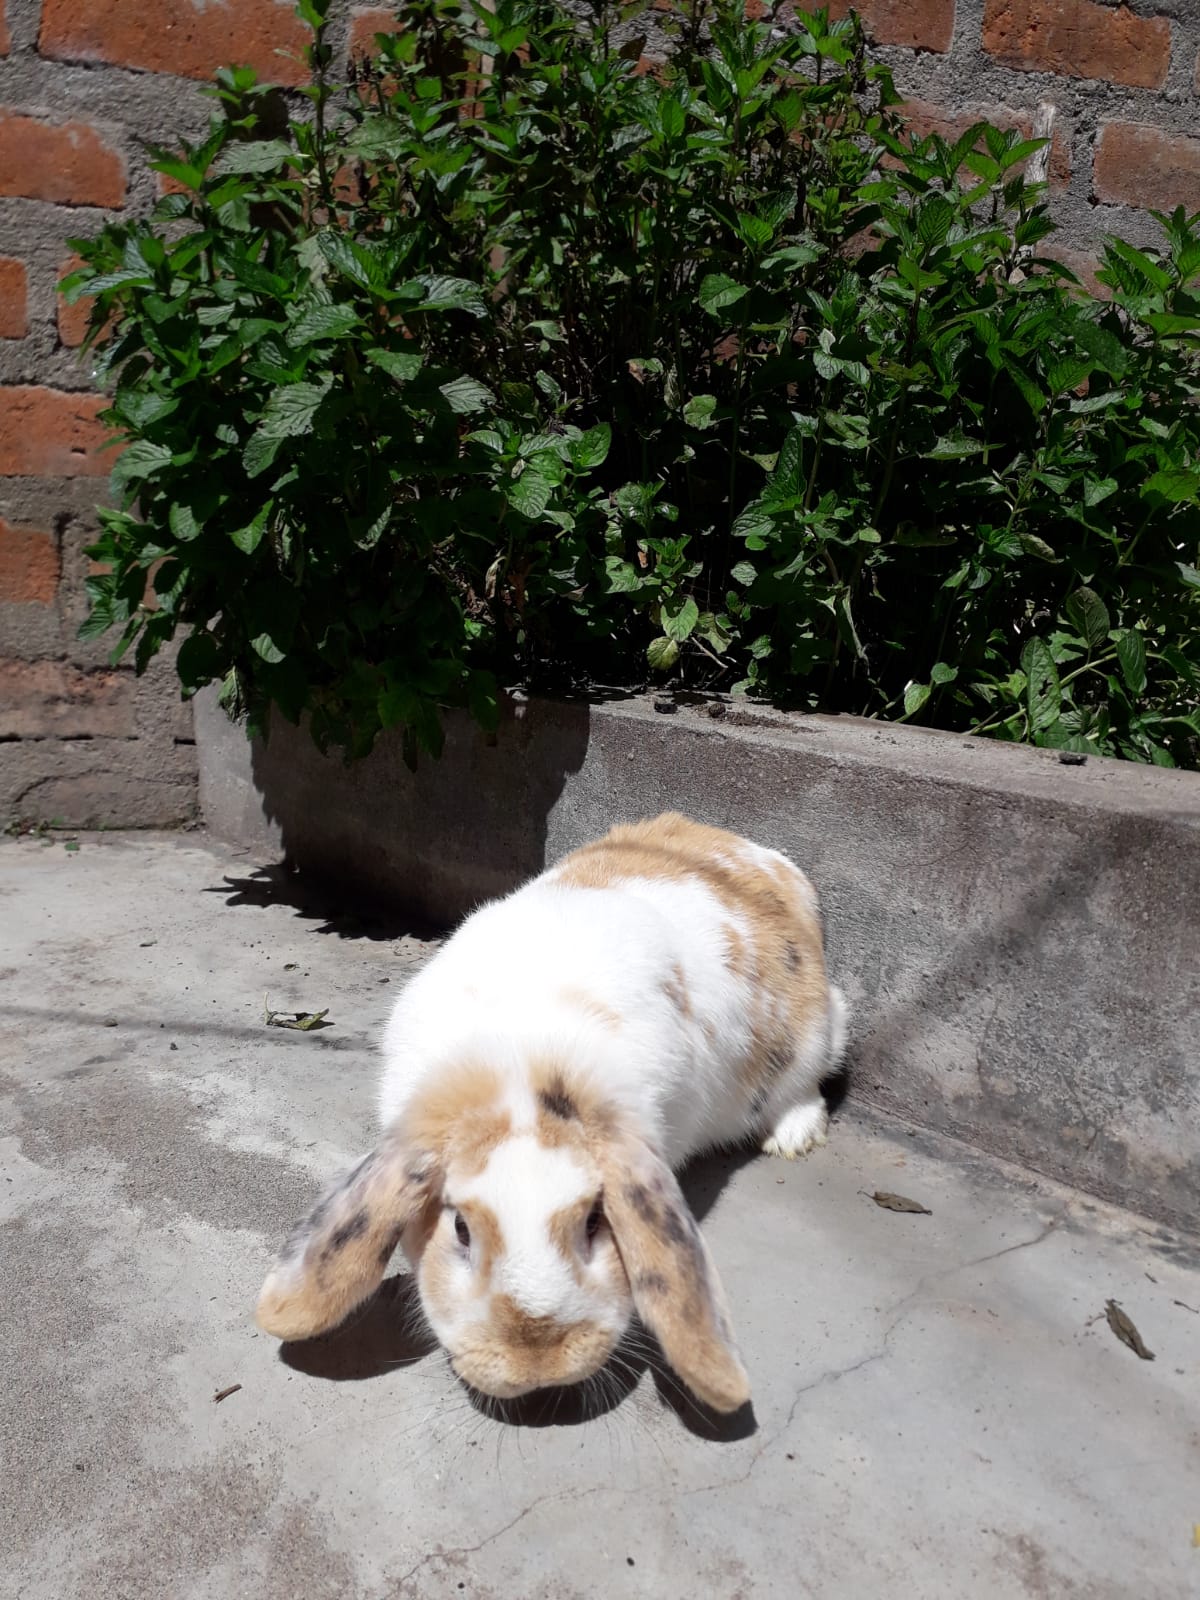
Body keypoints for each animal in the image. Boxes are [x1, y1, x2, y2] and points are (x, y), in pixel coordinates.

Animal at [256, 812, 848, 1414]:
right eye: (460, 1228)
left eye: (593, 1221)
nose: (538, 1363)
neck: (519, 1066)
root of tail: (758, 855)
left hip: (816, 1038)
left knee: (806, 1088)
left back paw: (792, 1138)